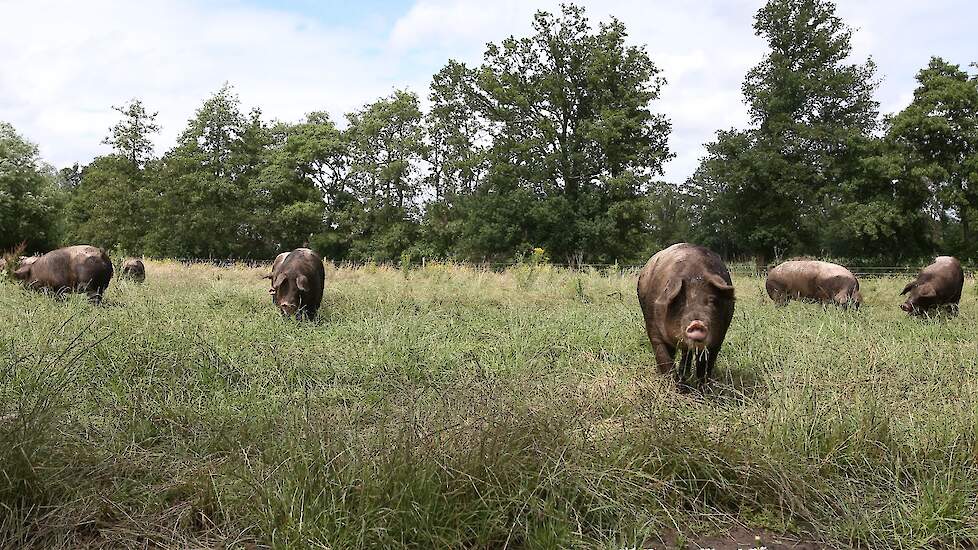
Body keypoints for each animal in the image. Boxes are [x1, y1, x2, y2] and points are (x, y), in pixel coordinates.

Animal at [636, 244, 736, 390]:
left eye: (712, 300)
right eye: (681, 302)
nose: (697, 323)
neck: (694, 273)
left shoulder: (719, 338)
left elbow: (705, 365)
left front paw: (703, 390)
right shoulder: (653, 329)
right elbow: (664, 358)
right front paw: (675, 388)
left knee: (687, 355)